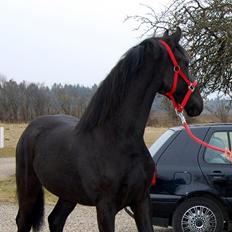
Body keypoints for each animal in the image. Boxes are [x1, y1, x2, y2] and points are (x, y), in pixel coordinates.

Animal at [15, 27, 203, 232]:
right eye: (184, 63)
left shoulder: (142, 200)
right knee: (23, 221)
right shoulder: (105, 207)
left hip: (68, 193)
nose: (197, 105)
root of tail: (31, 128)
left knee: (56, 220)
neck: (118, 139)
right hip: (29, 190)